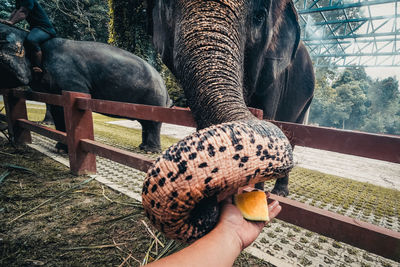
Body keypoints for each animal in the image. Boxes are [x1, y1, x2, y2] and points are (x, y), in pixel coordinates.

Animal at [0, 22, 172, 153]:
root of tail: (165, 85)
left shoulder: (71, 79)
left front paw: (63, 149)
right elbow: (57, 109)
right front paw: (60, 148)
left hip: (154, 98)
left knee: (153, 122)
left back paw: (149, 151)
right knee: (146, 123)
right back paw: (143, 147)